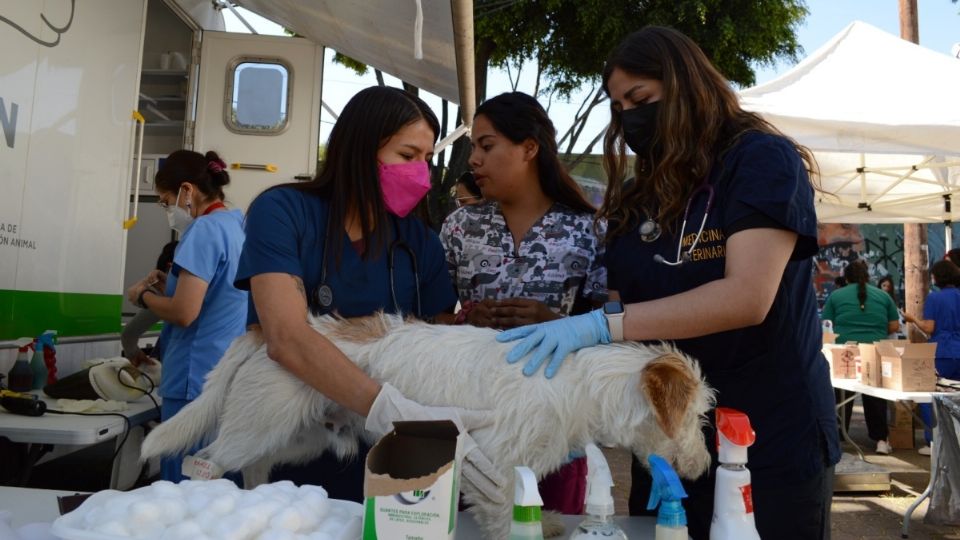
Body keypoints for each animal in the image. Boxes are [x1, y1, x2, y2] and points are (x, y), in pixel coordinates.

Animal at [142, 312, 712, 536]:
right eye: (698, 416)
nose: (705, 466)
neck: (577, 383)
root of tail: (265, 330)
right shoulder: (495, 466)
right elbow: (503, 514)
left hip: (295, 436)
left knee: (257, 465)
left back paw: (259, 497)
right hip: (255, 426)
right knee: (205, 462)